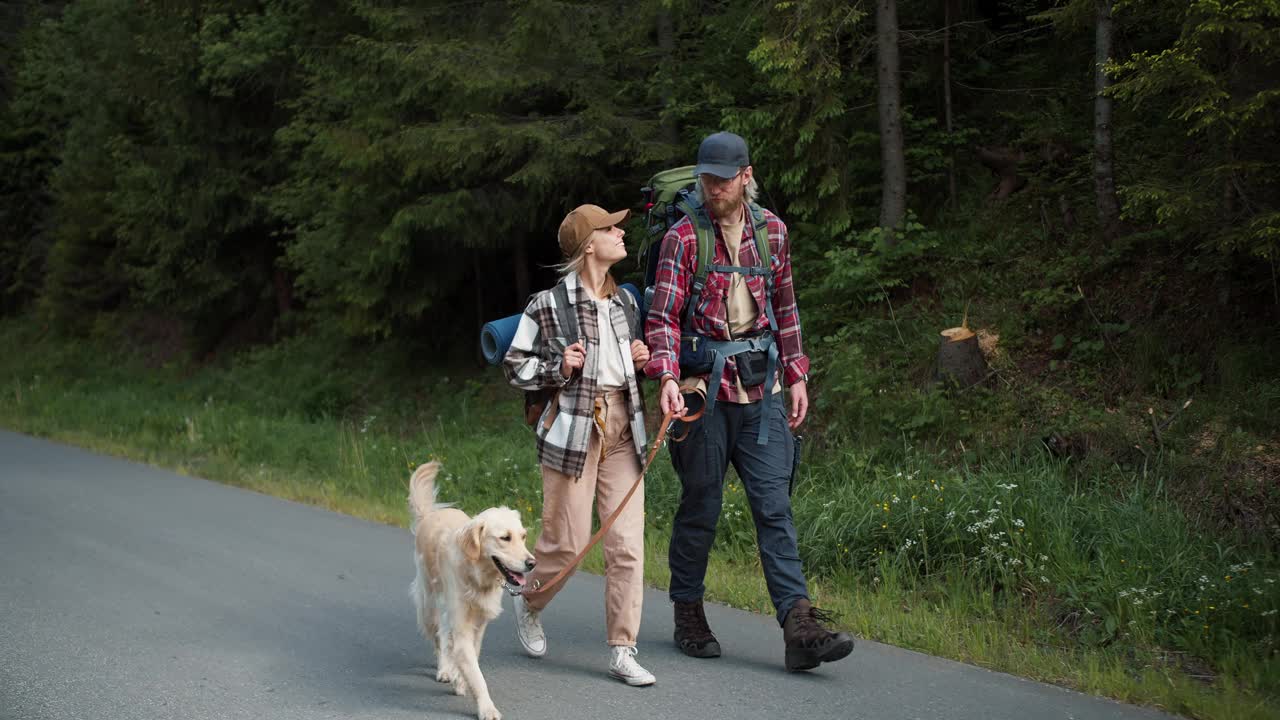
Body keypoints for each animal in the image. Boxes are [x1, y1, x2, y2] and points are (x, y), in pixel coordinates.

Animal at [404, 458, 535, 717]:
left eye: (523, 536)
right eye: (505, 538)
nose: (532, 563)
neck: (477, 576)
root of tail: (430, 514)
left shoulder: (479, 625)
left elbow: (472, 659)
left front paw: (461, 680)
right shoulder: (461, 624)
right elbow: (476, 673)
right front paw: (486, 707)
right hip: (430, 604)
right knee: (438, 638)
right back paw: (444, 669)